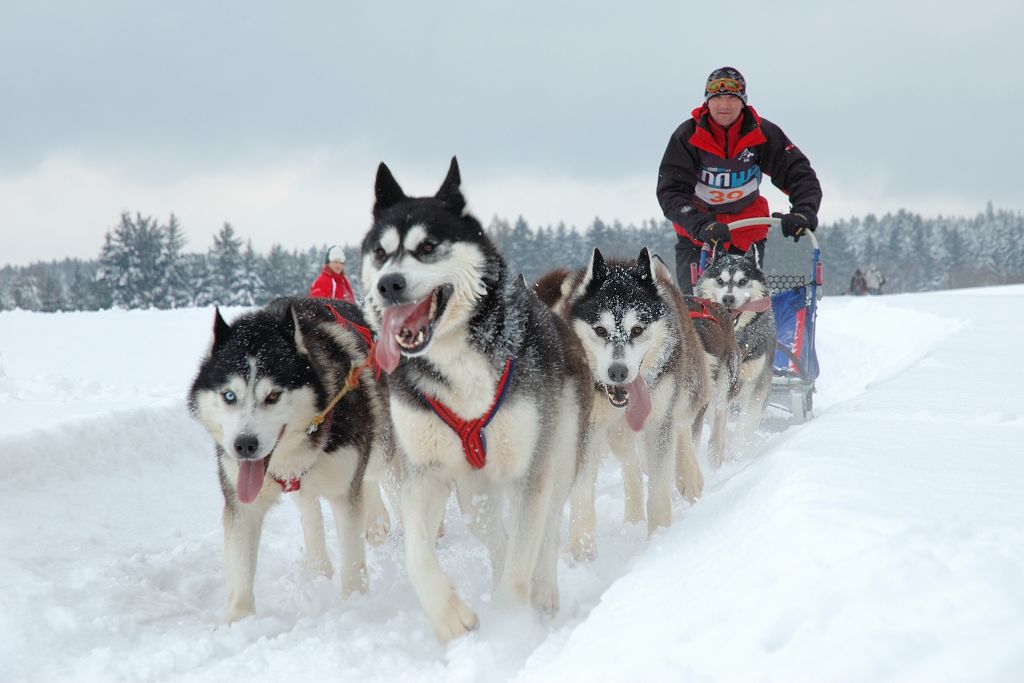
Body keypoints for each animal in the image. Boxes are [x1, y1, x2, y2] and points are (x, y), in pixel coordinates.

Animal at [362, 157, 593, 643]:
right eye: (380, 253)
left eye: (428, 246)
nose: (389, 284)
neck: (458, 360)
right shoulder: (424, 474)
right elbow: (417, 555)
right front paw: (450, 616)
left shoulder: (530, 470)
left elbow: (524, 557)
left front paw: (509, 630)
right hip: (474, 492)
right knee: (494, 535)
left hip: (560, 455)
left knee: (545, 535)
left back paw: (544, 593)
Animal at [696, 245, 774, 454]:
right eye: (720, 280)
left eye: (743, 281)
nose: (728, 299)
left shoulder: (756, 382)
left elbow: (746, 422)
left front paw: (737, 449)